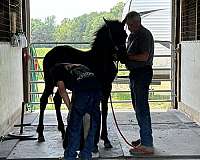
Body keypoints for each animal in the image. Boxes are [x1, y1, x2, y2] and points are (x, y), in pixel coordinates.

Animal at [36, 18, 126, 150]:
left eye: (125, 35)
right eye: (113, 35)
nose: (124, 57)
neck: (100, 59)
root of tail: (48, 54)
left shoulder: (107, 87)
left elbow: (104, 110)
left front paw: (105, 139)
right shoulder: (101, 88)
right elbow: (99, 111)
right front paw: (98, 140)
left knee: (57, 100)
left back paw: (63, 131)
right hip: (49, 82)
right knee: (43, 101)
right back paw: (40, 133)